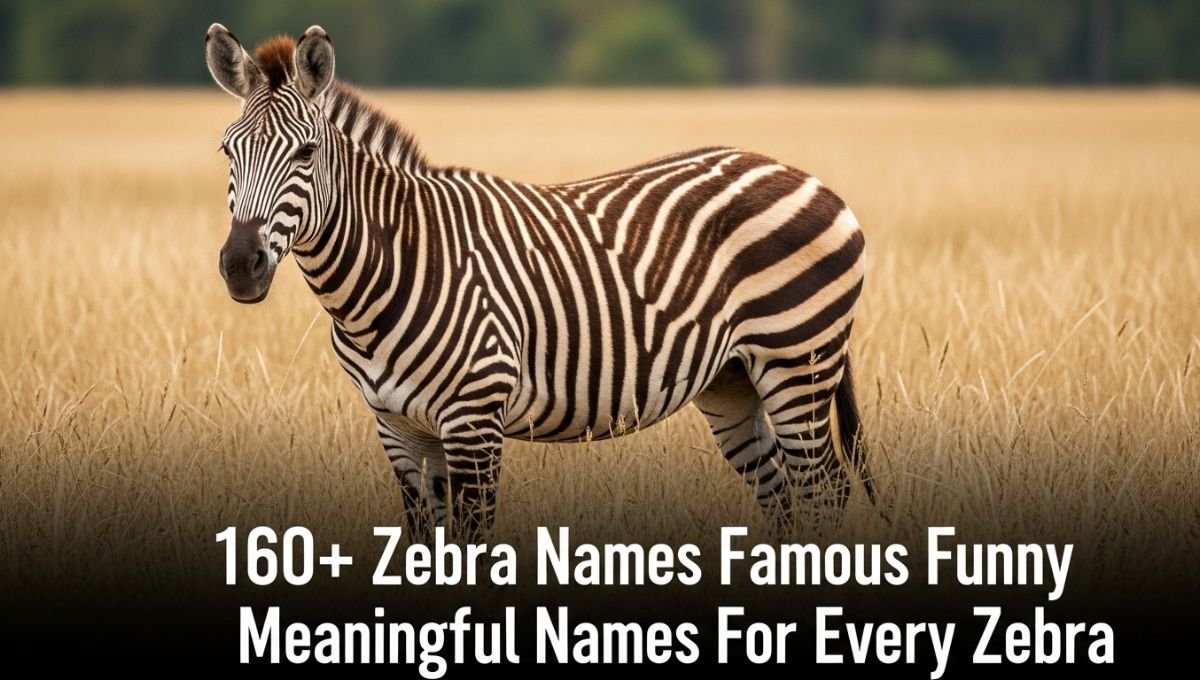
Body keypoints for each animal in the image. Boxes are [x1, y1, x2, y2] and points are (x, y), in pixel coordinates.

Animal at [205, 24, 875, 541]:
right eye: (227, 152)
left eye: (306, 154)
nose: (240, 265)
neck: (392, 269)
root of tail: (801, 174)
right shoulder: (398, 428)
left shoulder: (474, 418)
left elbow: (474, 543)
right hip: (733, 381)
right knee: (783, 498)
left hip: (797, 361)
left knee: (823, 493)